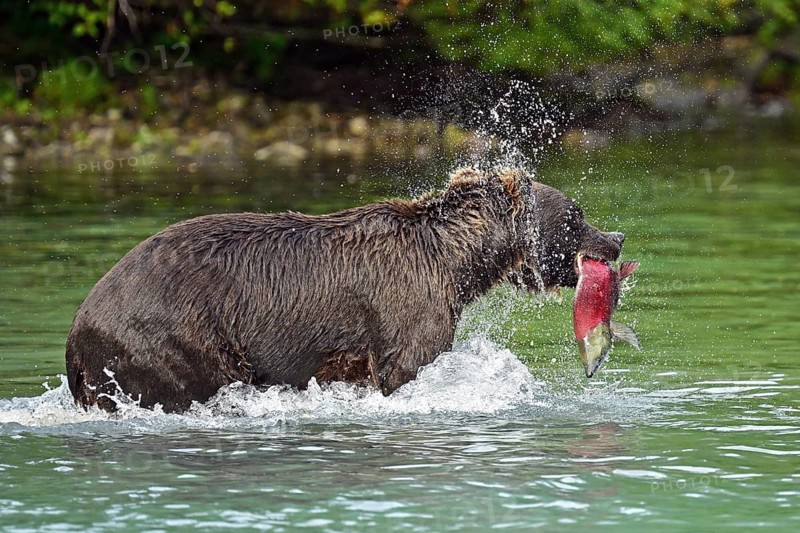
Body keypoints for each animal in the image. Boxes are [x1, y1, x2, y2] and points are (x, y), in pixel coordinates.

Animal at [65, 167, 626, 412]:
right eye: (575, 215)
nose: (616, 239)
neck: (455, 263)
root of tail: (76, 328)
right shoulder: (407, 309)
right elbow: (407, 369)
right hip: (170, 337)